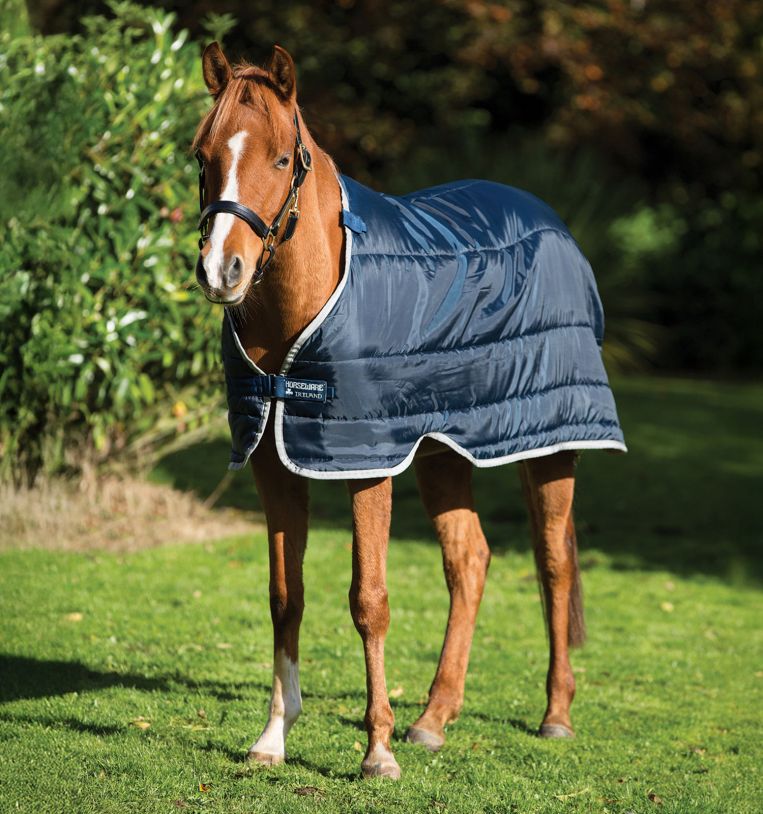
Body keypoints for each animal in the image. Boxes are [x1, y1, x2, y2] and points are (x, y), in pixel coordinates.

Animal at [191, 42, 625, 779]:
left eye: (279, 159)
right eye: (202, 156)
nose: (223, 270)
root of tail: (551, 222)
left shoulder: (366, 465)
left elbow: (369, 600)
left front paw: (376, 752)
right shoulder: (274, 464)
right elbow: (285, 598)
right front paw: (272, 739)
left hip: (549, 445)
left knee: (552, 564)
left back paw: (555, 715)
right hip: (442, 452)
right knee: (469, 561)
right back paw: (433, 719)